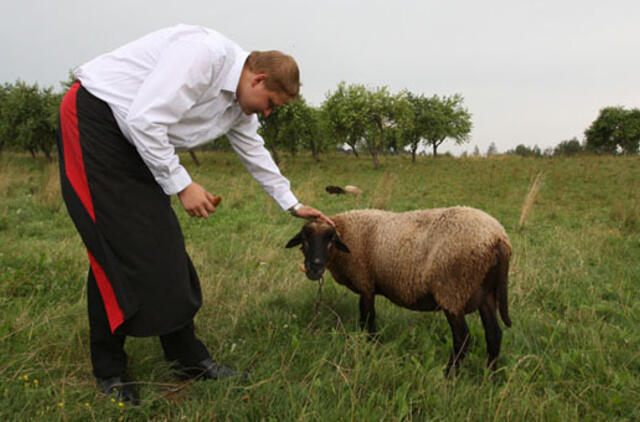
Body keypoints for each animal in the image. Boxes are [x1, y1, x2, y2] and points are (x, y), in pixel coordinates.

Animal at [284, 206, 510, 374]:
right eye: (304, 239)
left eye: (330, 240)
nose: (314, 267)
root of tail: (498, 237)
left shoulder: (366, 283)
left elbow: (367, 319)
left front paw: (370, 347)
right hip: (485, 293)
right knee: (494, 334)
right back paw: (490, 377)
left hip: (453, 290)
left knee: (463, 338)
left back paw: (448, 376)